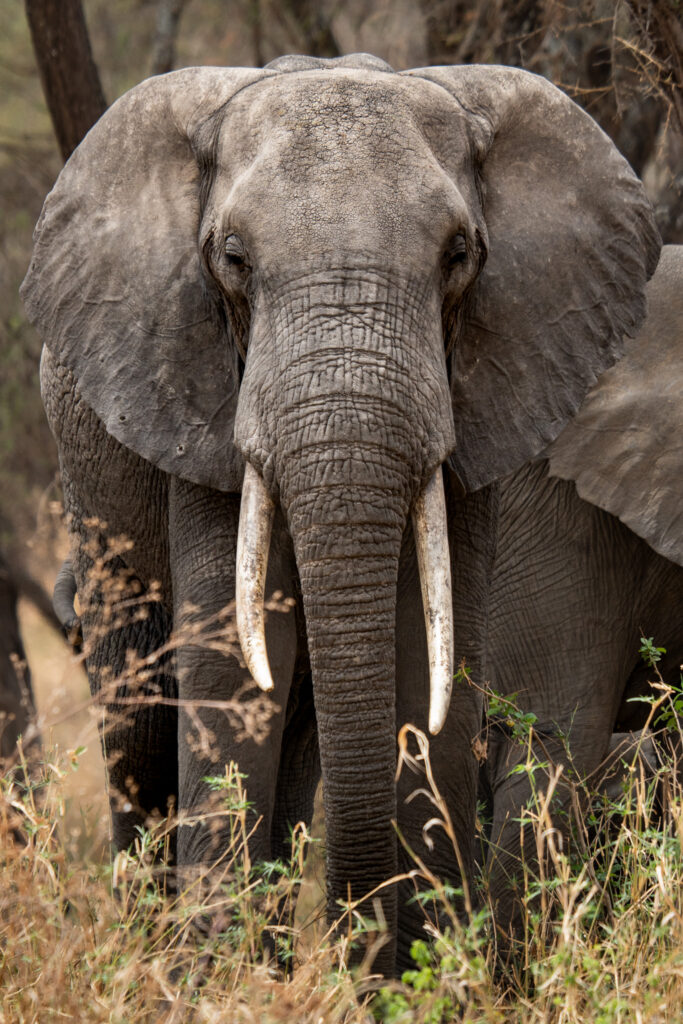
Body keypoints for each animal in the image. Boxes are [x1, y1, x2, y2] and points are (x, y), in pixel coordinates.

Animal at [21, 53, 660, 974]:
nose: (362, 950)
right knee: (139, 715)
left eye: (458, 255)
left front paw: (427, 976)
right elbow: (230, 664)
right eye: (233, 258)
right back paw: (156, 953)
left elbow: (428, 653)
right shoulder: (200, 393)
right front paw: (213, 984)